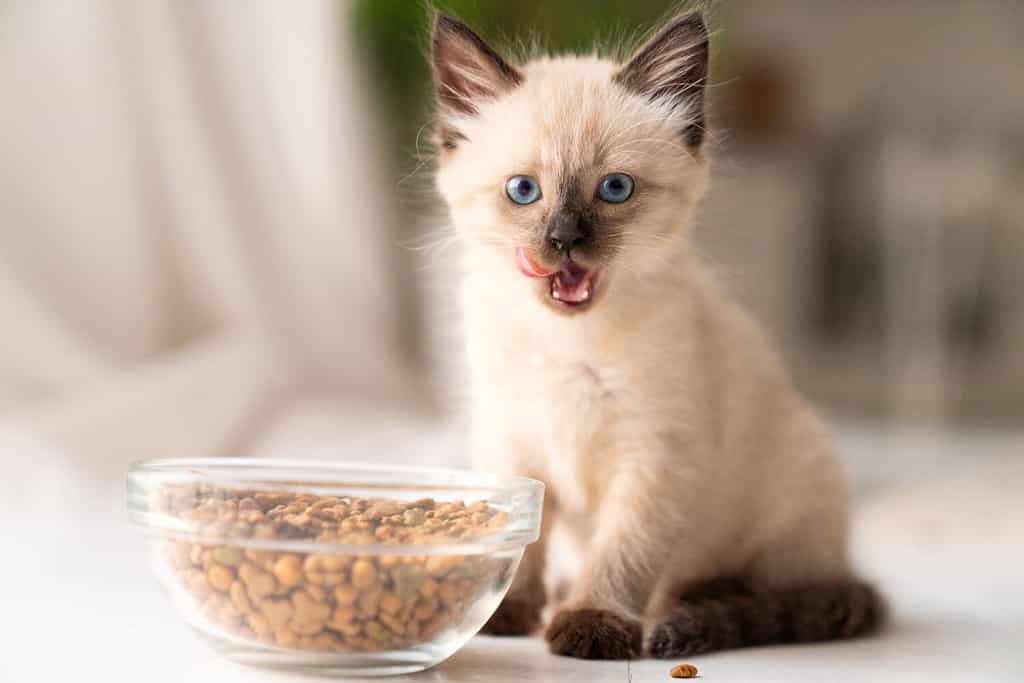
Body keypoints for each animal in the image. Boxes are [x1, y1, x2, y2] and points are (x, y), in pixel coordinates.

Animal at [428, 12, 884, 663]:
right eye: (523, 191)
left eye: (615, 189)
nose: (565, 239)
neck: (569, 341)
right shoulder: (515, 441)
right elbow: (525, 539)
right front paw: (508, 611)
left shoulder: (656, 457)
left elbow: (624, 553)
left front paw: (591, 624)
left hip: (794, 490)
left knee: (768, 590)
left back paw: (683, 605)